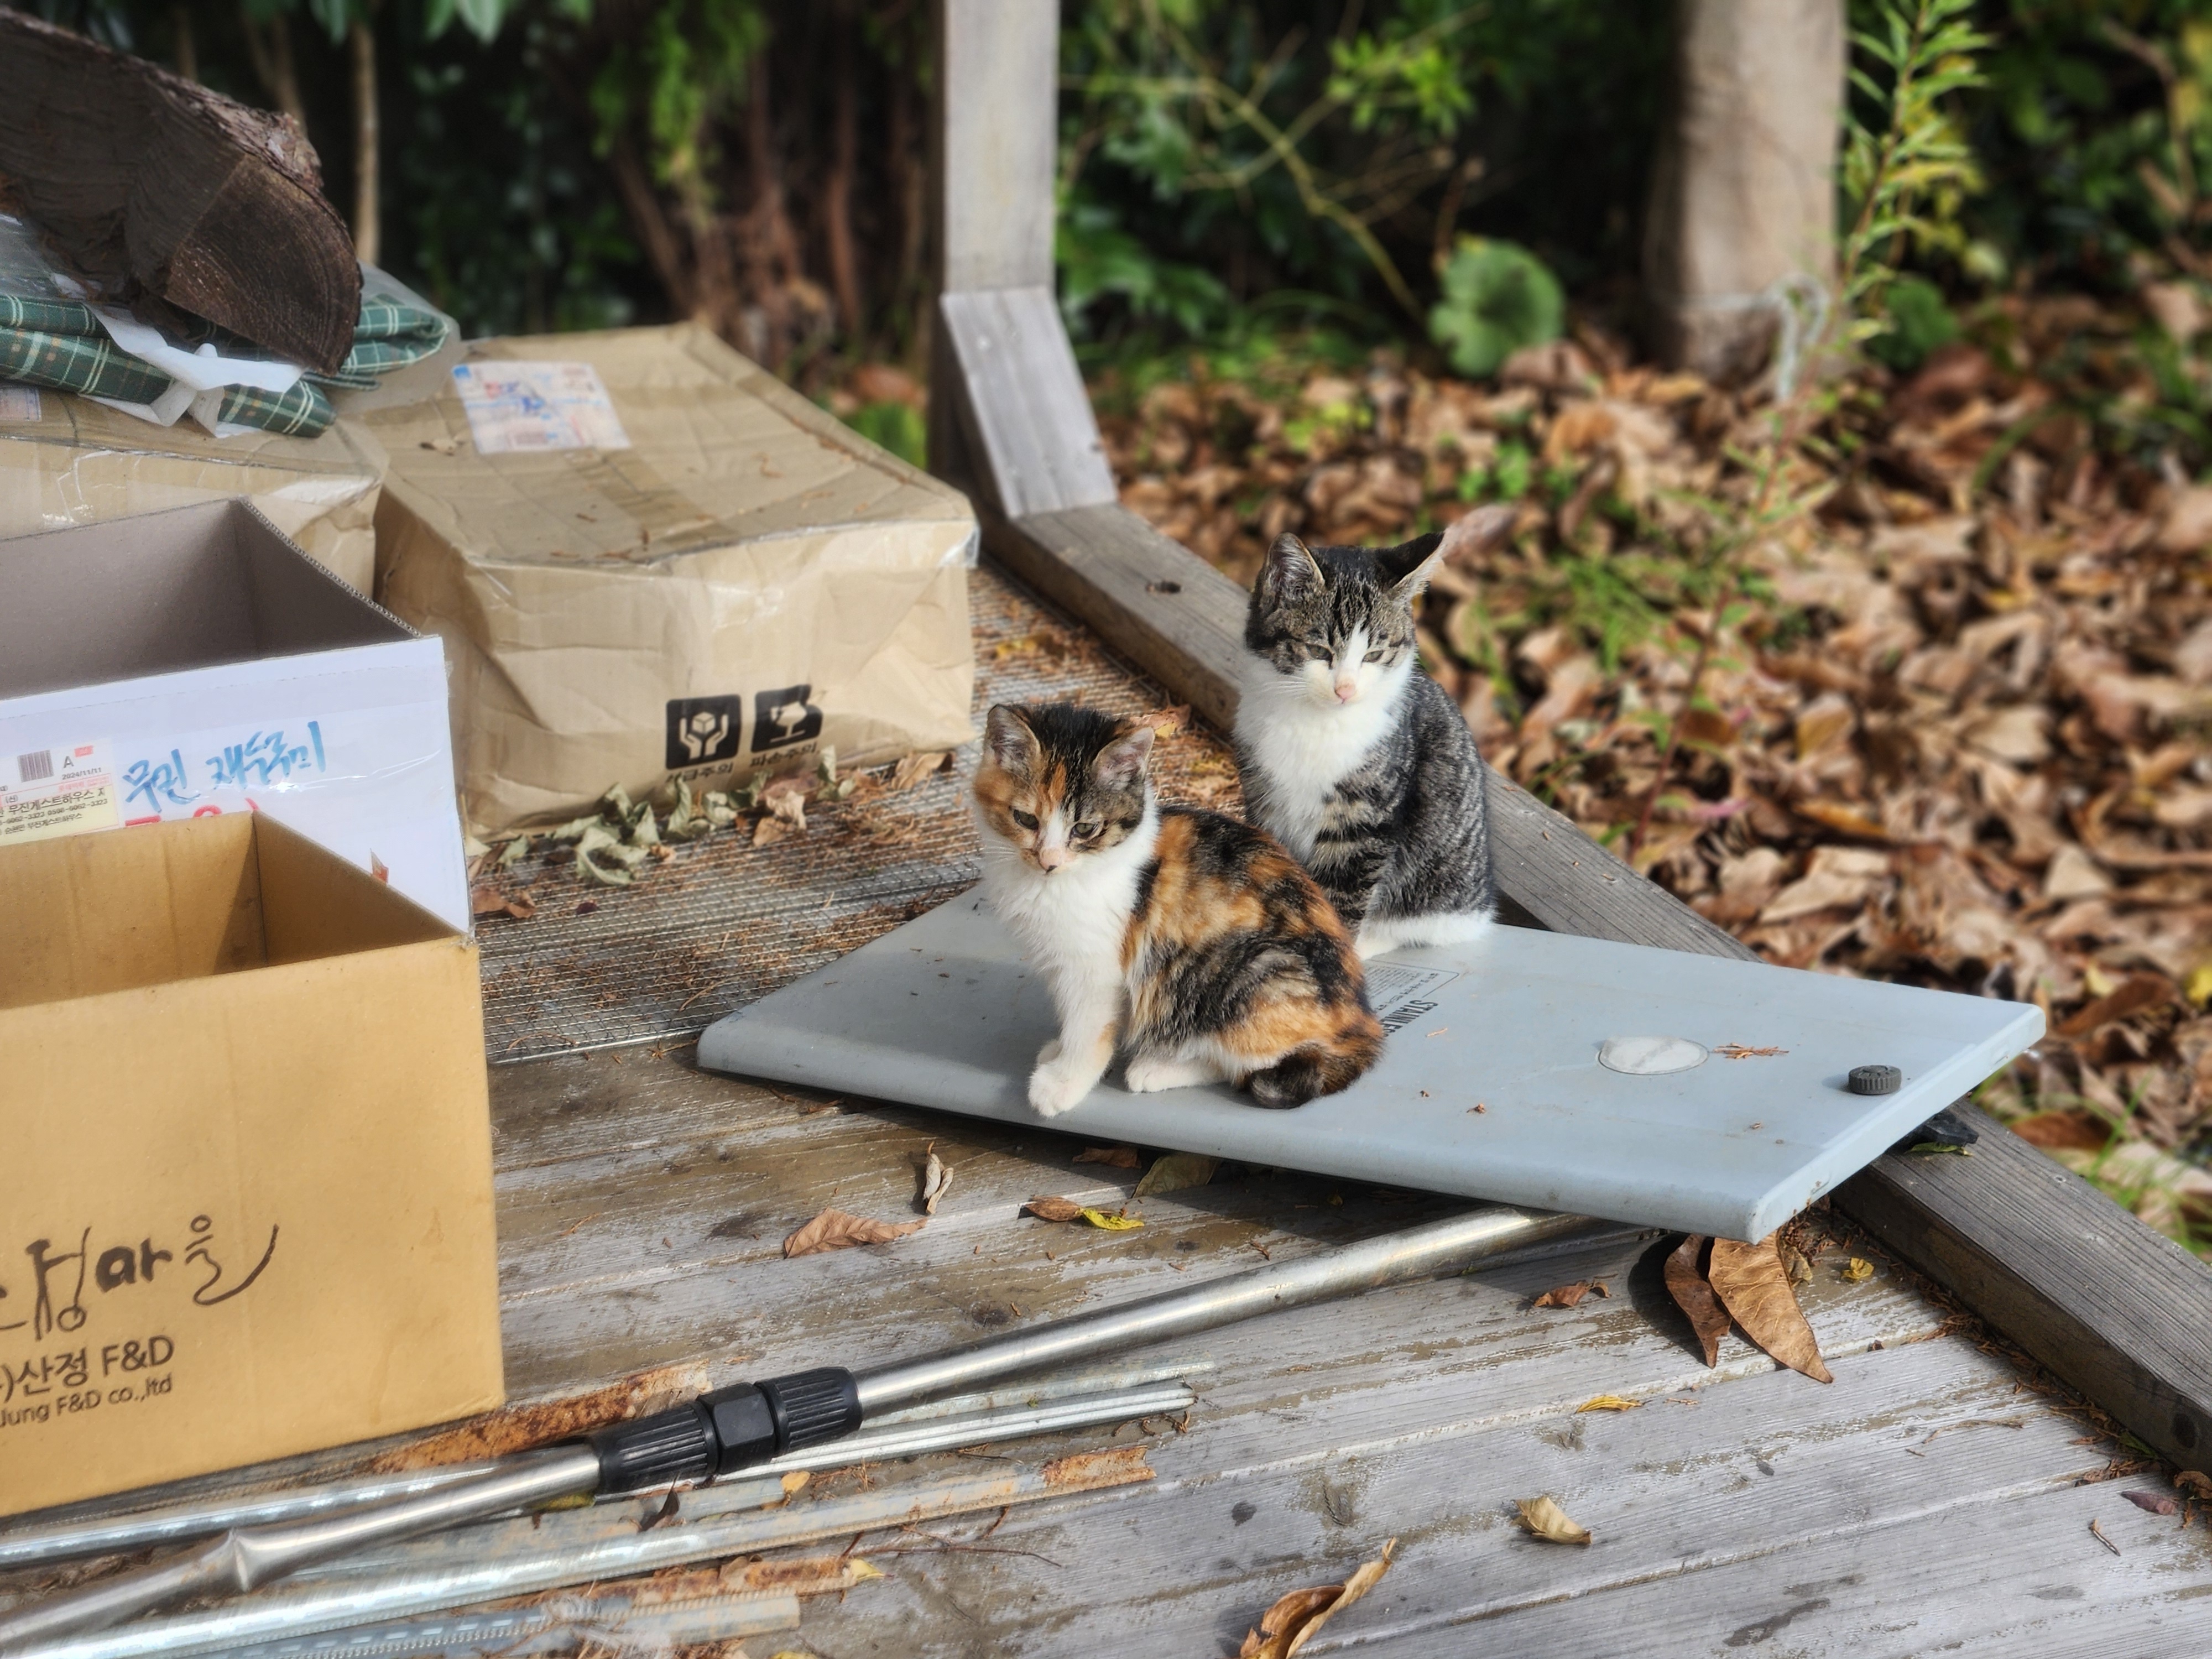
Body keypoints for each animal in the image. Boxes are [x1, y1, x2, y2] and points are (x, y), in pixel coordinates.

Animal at [973, 703, 1371, 1119]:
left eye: (1084, 829)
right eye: (1025, 819)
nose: (1048, 861)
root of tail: (1362, 1028)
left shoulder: (1095, 966)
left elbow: (1088, 1025)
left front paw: (1066, 1081)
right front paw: (1061, 1052)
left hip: (1248, 976)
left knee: (1247, 1064)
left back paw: (1158, 1067)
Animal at [1239, 513, 1513, 969]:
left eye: (1374, 655)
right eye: (1319, 650)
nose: (1345, 689)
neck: (1317, 724)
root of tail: (1483, 905)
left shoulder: (1365, 819)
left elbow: (1343, 894)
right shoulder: (1263, 799)